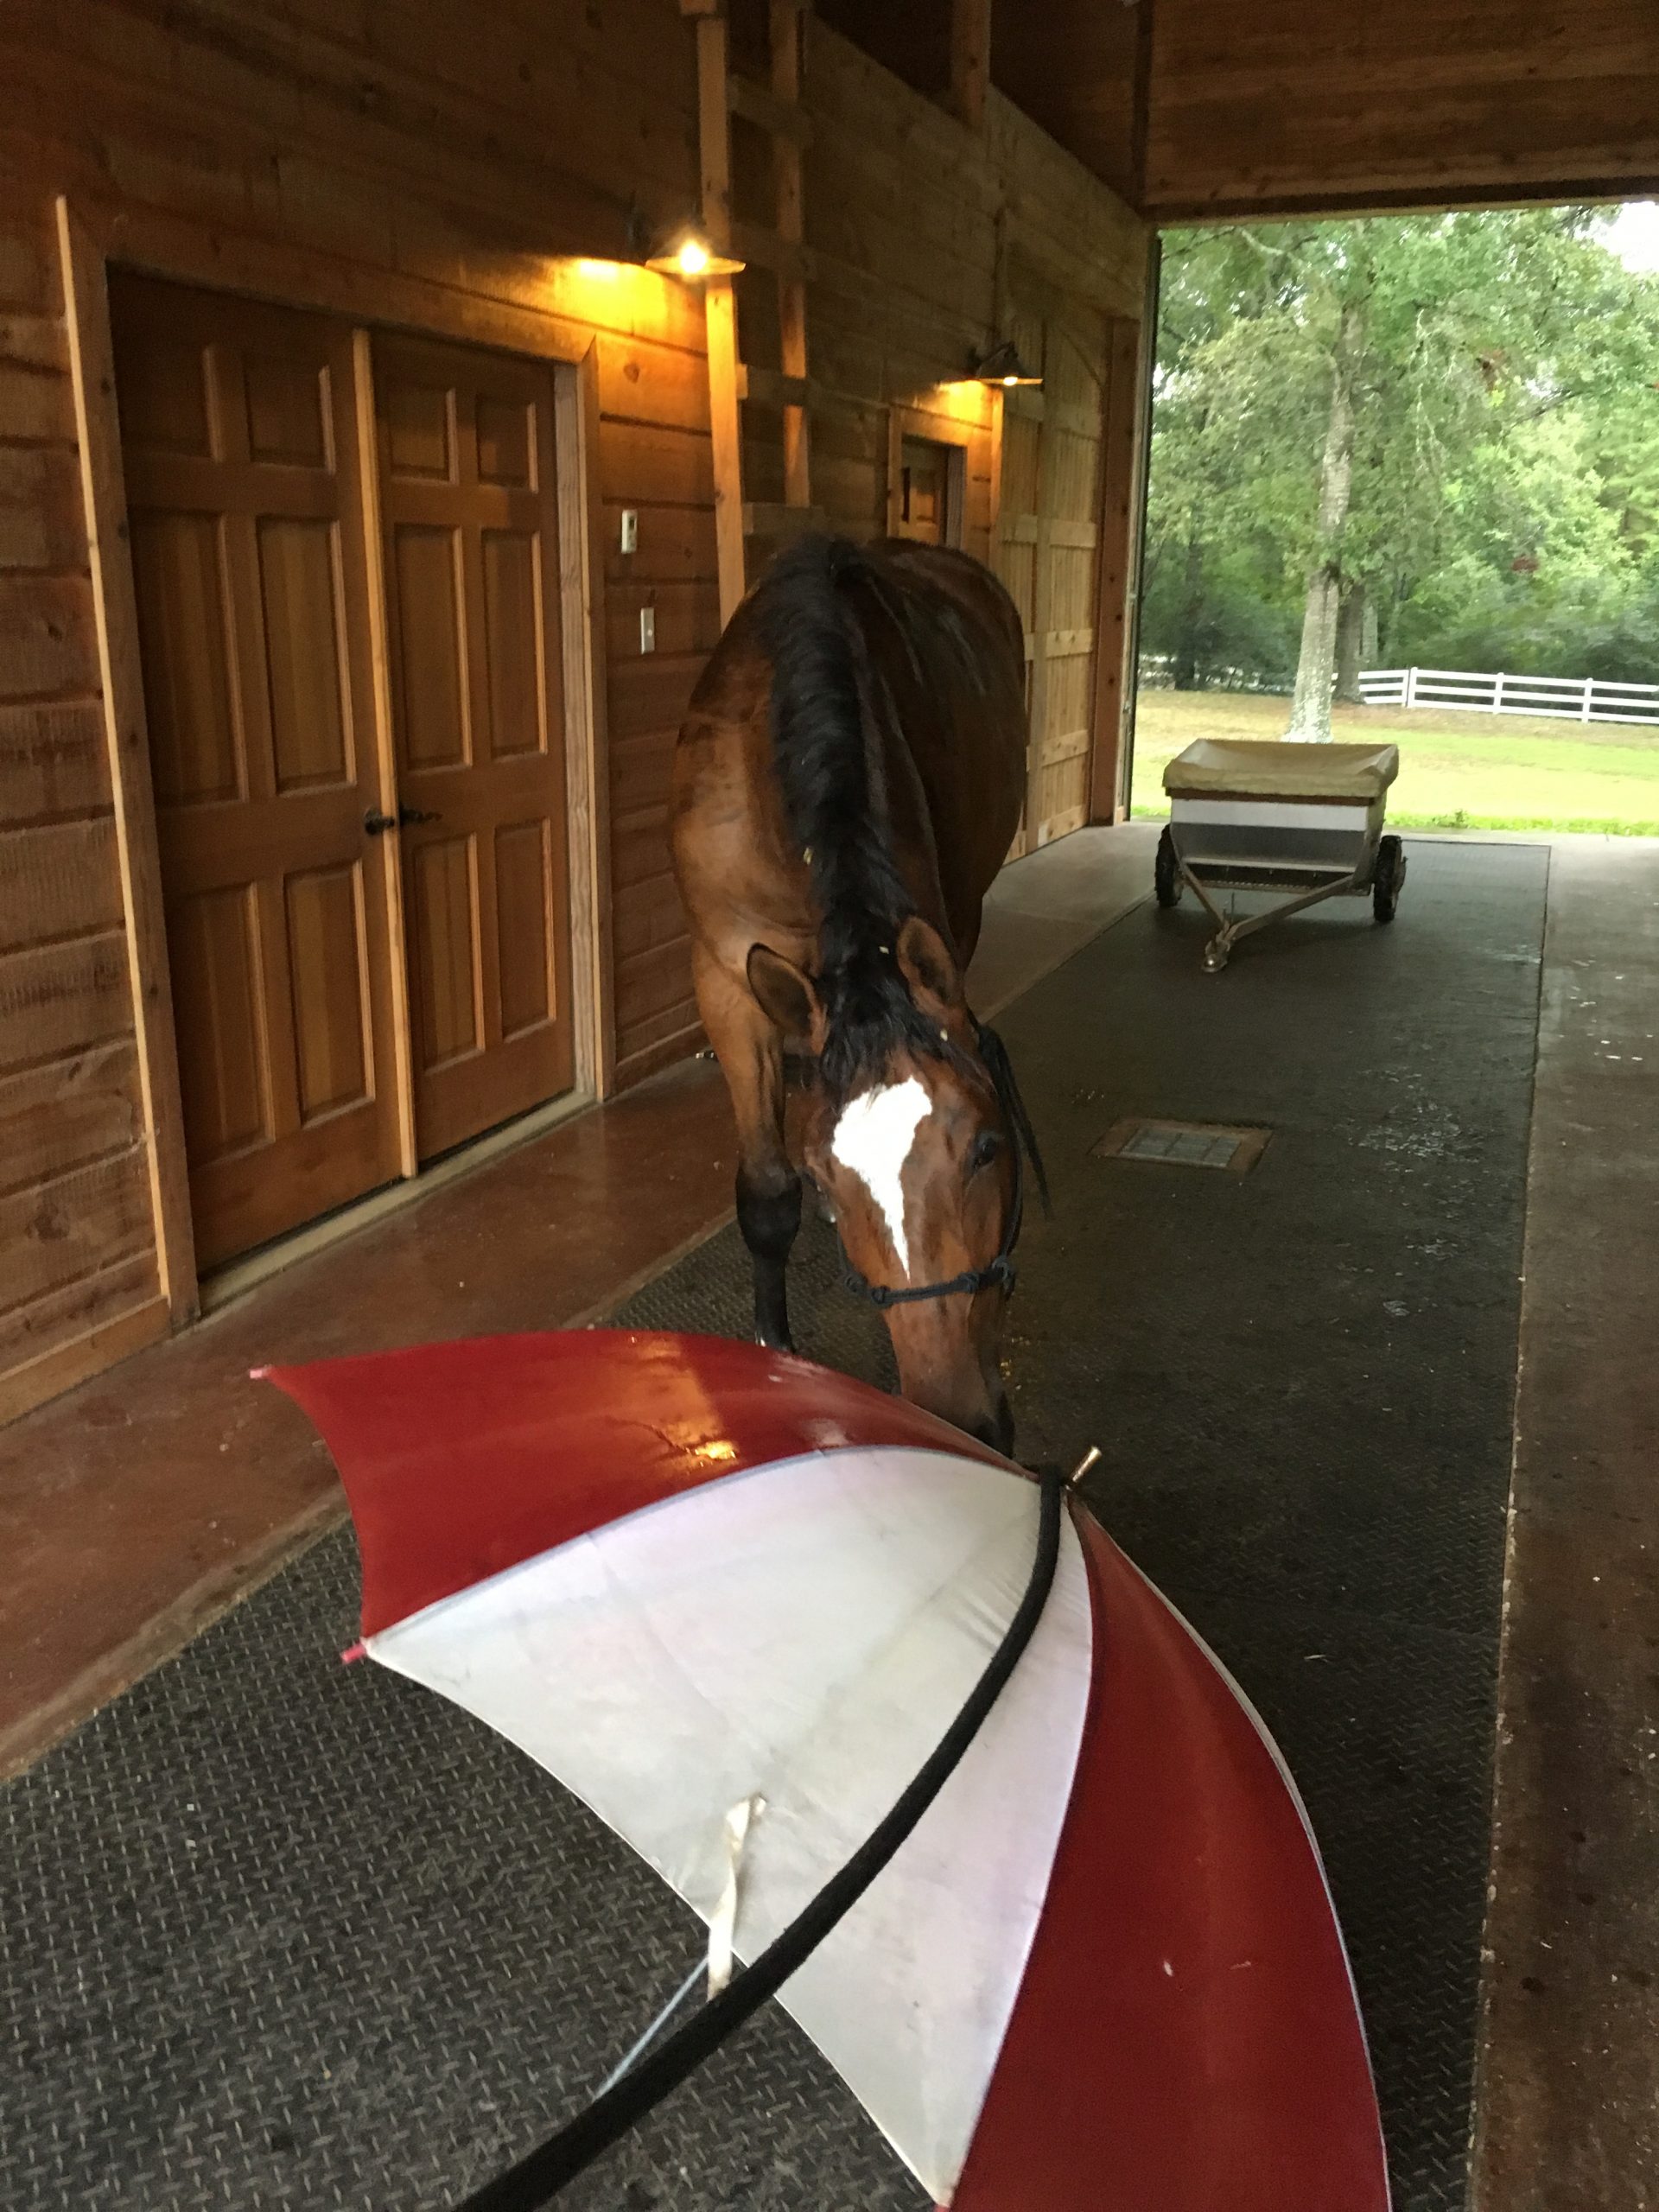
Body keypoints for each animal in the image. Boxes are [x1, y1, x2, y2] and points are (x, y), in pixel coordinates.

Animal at [669, 533, 1042, 1453]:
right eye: (828, 1178)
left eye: (990, 1148)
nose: (961, 1420)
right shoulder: (724, 980)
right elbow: (769, 1195)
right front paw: (775, 1352)